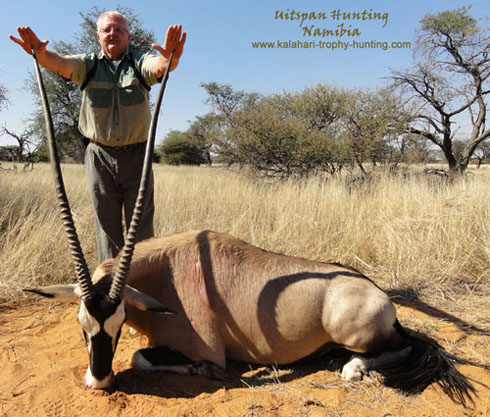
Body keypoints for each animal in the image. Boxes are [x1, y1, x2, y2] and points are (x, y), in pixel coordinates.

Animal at [28, 46, 484, 406]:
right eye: (81, 326)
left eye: (119, 325)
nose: (99, 380)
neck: (164, 274)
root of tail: (380, 297)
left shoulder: (206, 349)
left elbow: (145, 356)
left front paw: (198, 372)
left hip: (357, 331)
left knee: (408, 346)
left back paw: (352, 367)